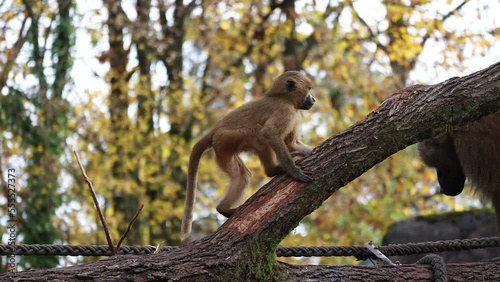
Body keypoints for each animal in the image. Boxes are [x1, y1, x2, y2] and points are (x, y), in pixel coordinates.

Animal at [181, 71, 316, 243]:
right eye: (309, 89)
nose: (313, 99)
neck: (281, 97)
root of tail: (214, 131)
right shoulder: (287, 111)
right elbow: (270, 133)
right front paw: (295, 172)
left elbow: (291, 143)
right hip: (226, 139)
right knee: (259, 133)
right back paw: (272, 171)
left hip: (223, 148)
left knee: (242, 175)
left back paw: (223, 208)